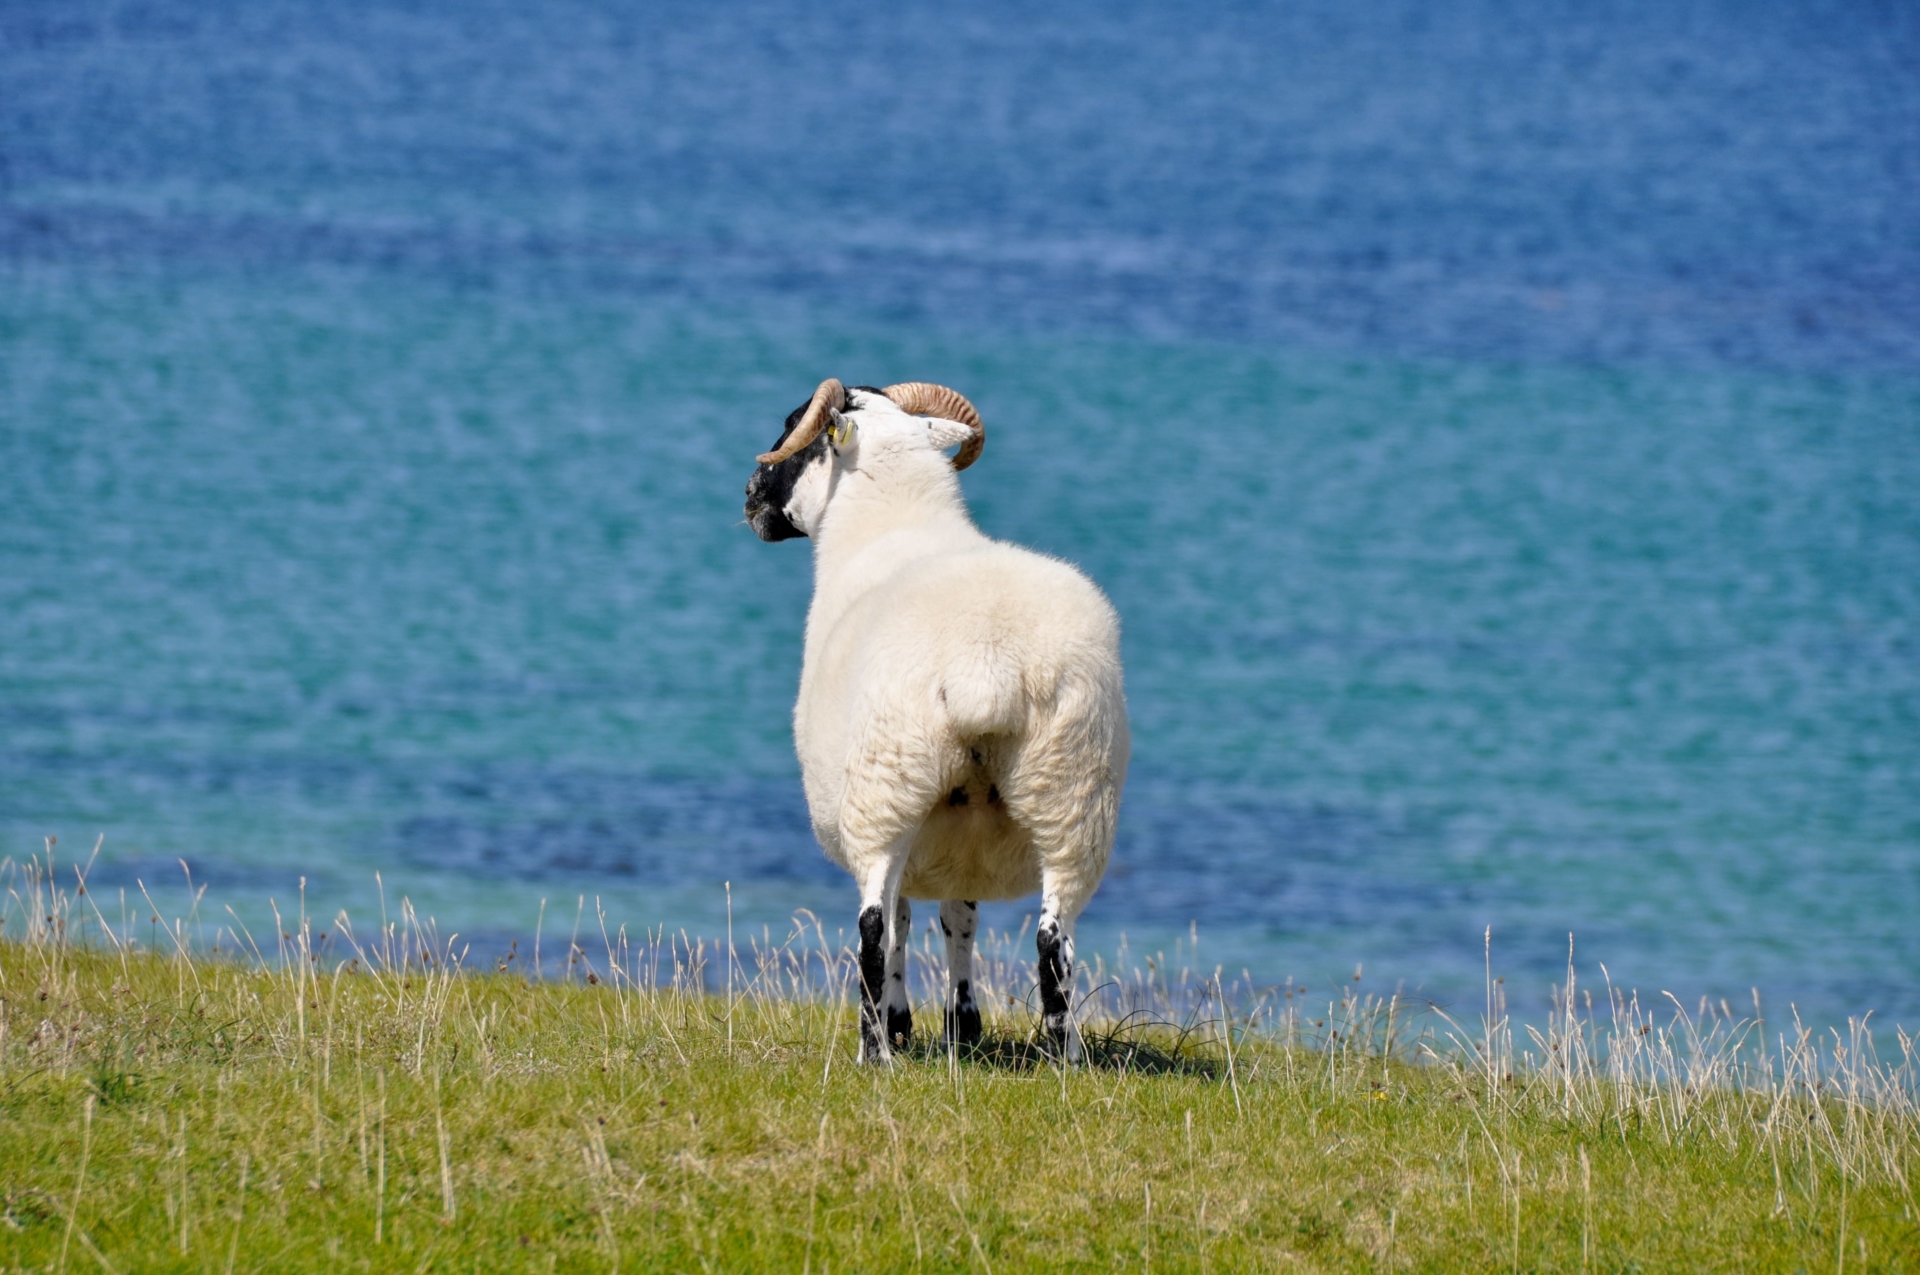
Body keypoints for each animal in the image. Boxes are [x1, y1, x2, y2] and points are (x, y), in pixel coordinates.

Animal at [743, 379, 1129, 1063]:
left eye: (797, 429)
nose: (749, 496)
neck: (888, 521)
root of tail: (988, 664)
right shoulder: (960, 834)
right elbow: (960, 917)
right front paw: (962, 1026)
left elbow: (901, 921)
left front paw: (903, 1024)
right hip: (1073, 796)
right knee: (1054, 938)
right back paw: (1067, 1057)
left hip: (885, 792)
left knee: (871, 928)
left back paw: (874, 1054)